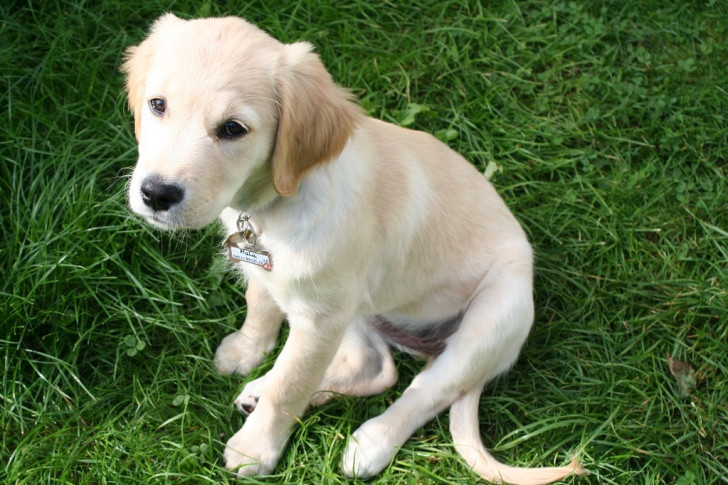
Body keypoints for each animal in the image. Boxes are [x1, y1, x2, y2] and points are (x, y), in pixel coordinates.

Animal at [122, 13, 584, 482]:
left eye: (233, 129)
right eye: (158, 105)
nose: (156, 194)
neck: (278, 202)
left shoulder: (319, 320)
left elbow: (290, 384)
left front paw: (256, 449)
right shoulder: (279, 281)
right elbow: (260, 308)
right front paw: (246, 352)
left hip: (493, 317)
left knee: (425, 390)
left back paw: (370, 443)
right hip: (360, 309)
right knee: (375, 369)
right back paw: (263, 391)